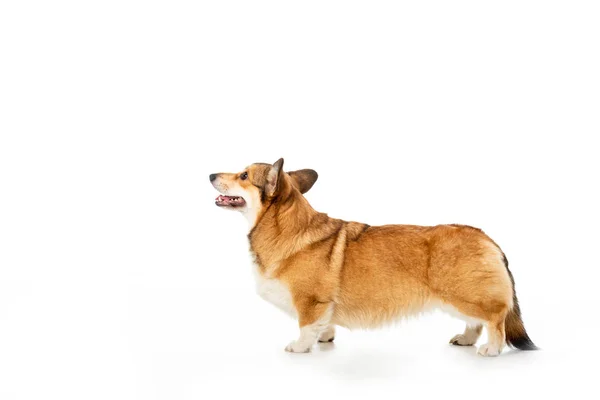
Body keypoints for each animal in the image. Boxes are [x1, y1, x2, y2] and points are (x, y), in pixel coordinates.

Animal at [209, 159, 536, 356]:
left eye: (243, 175)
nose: (211, 174)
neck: (285, 227)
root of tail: (487, 238)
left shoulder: (310, 302)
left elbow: (305, 327)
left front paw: (299, 347)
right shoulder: (323, 306)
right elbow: (324, 325)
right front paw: (324, 338)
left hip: (467, 296)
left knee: (495, 319)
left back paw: (491, 349)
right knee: (475, 323)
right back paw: (465, 340)